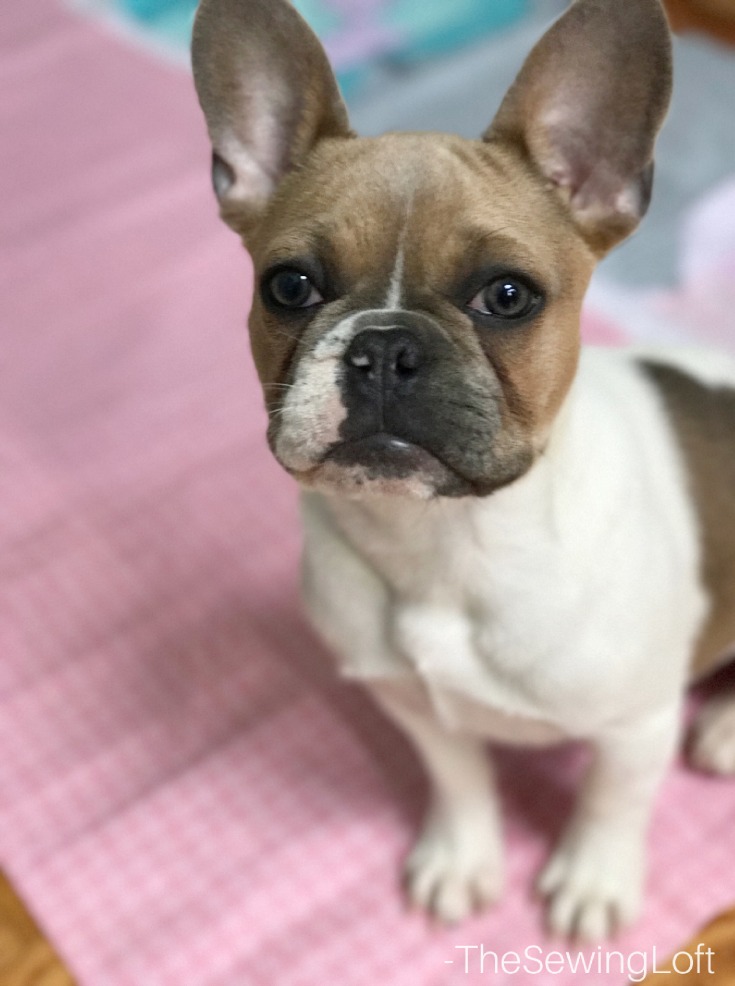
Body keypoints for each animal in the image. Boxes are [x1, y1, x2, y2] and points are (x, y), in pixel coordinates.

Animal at [193, 0, 735, 936]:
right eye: (288, 286)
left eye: (507, 295)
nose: (383, 346)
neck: (445, 538)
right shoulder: (415, 708)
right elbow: (459, 780)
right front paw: (461, 856)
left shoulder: (634, 727)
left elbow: (610, 803)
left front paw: (592, 879)